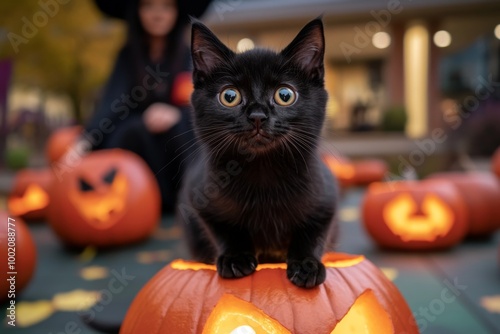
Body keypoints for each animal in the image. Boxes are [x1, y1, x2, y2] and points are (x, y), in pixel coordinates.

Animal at [178, 18, 338, 288]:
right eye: (229, 96)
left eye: (285, 95)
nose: (257, 116)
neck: (263, 172)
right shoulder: (199, 196)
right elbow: (224, 230)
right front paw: (235, 257)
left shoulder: (327, 198)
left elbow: (313, 233)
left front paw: (307, 264)